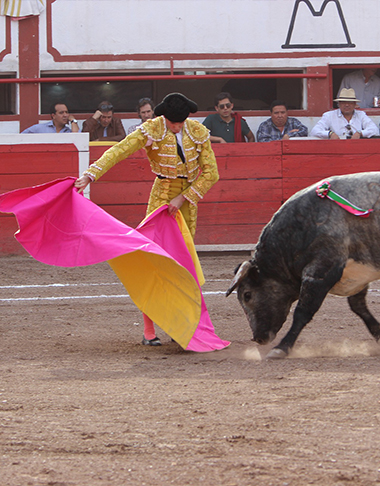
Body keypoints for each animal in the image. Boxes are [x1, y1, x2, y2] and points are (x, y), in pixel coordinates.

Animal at [226, 173, 380, 358]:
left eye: (247, 295)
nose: (258, 338)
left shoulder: (320, 271)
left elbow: (302, 312)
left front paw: (281, 348)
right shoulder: (356, 276)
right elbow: (359, 307)